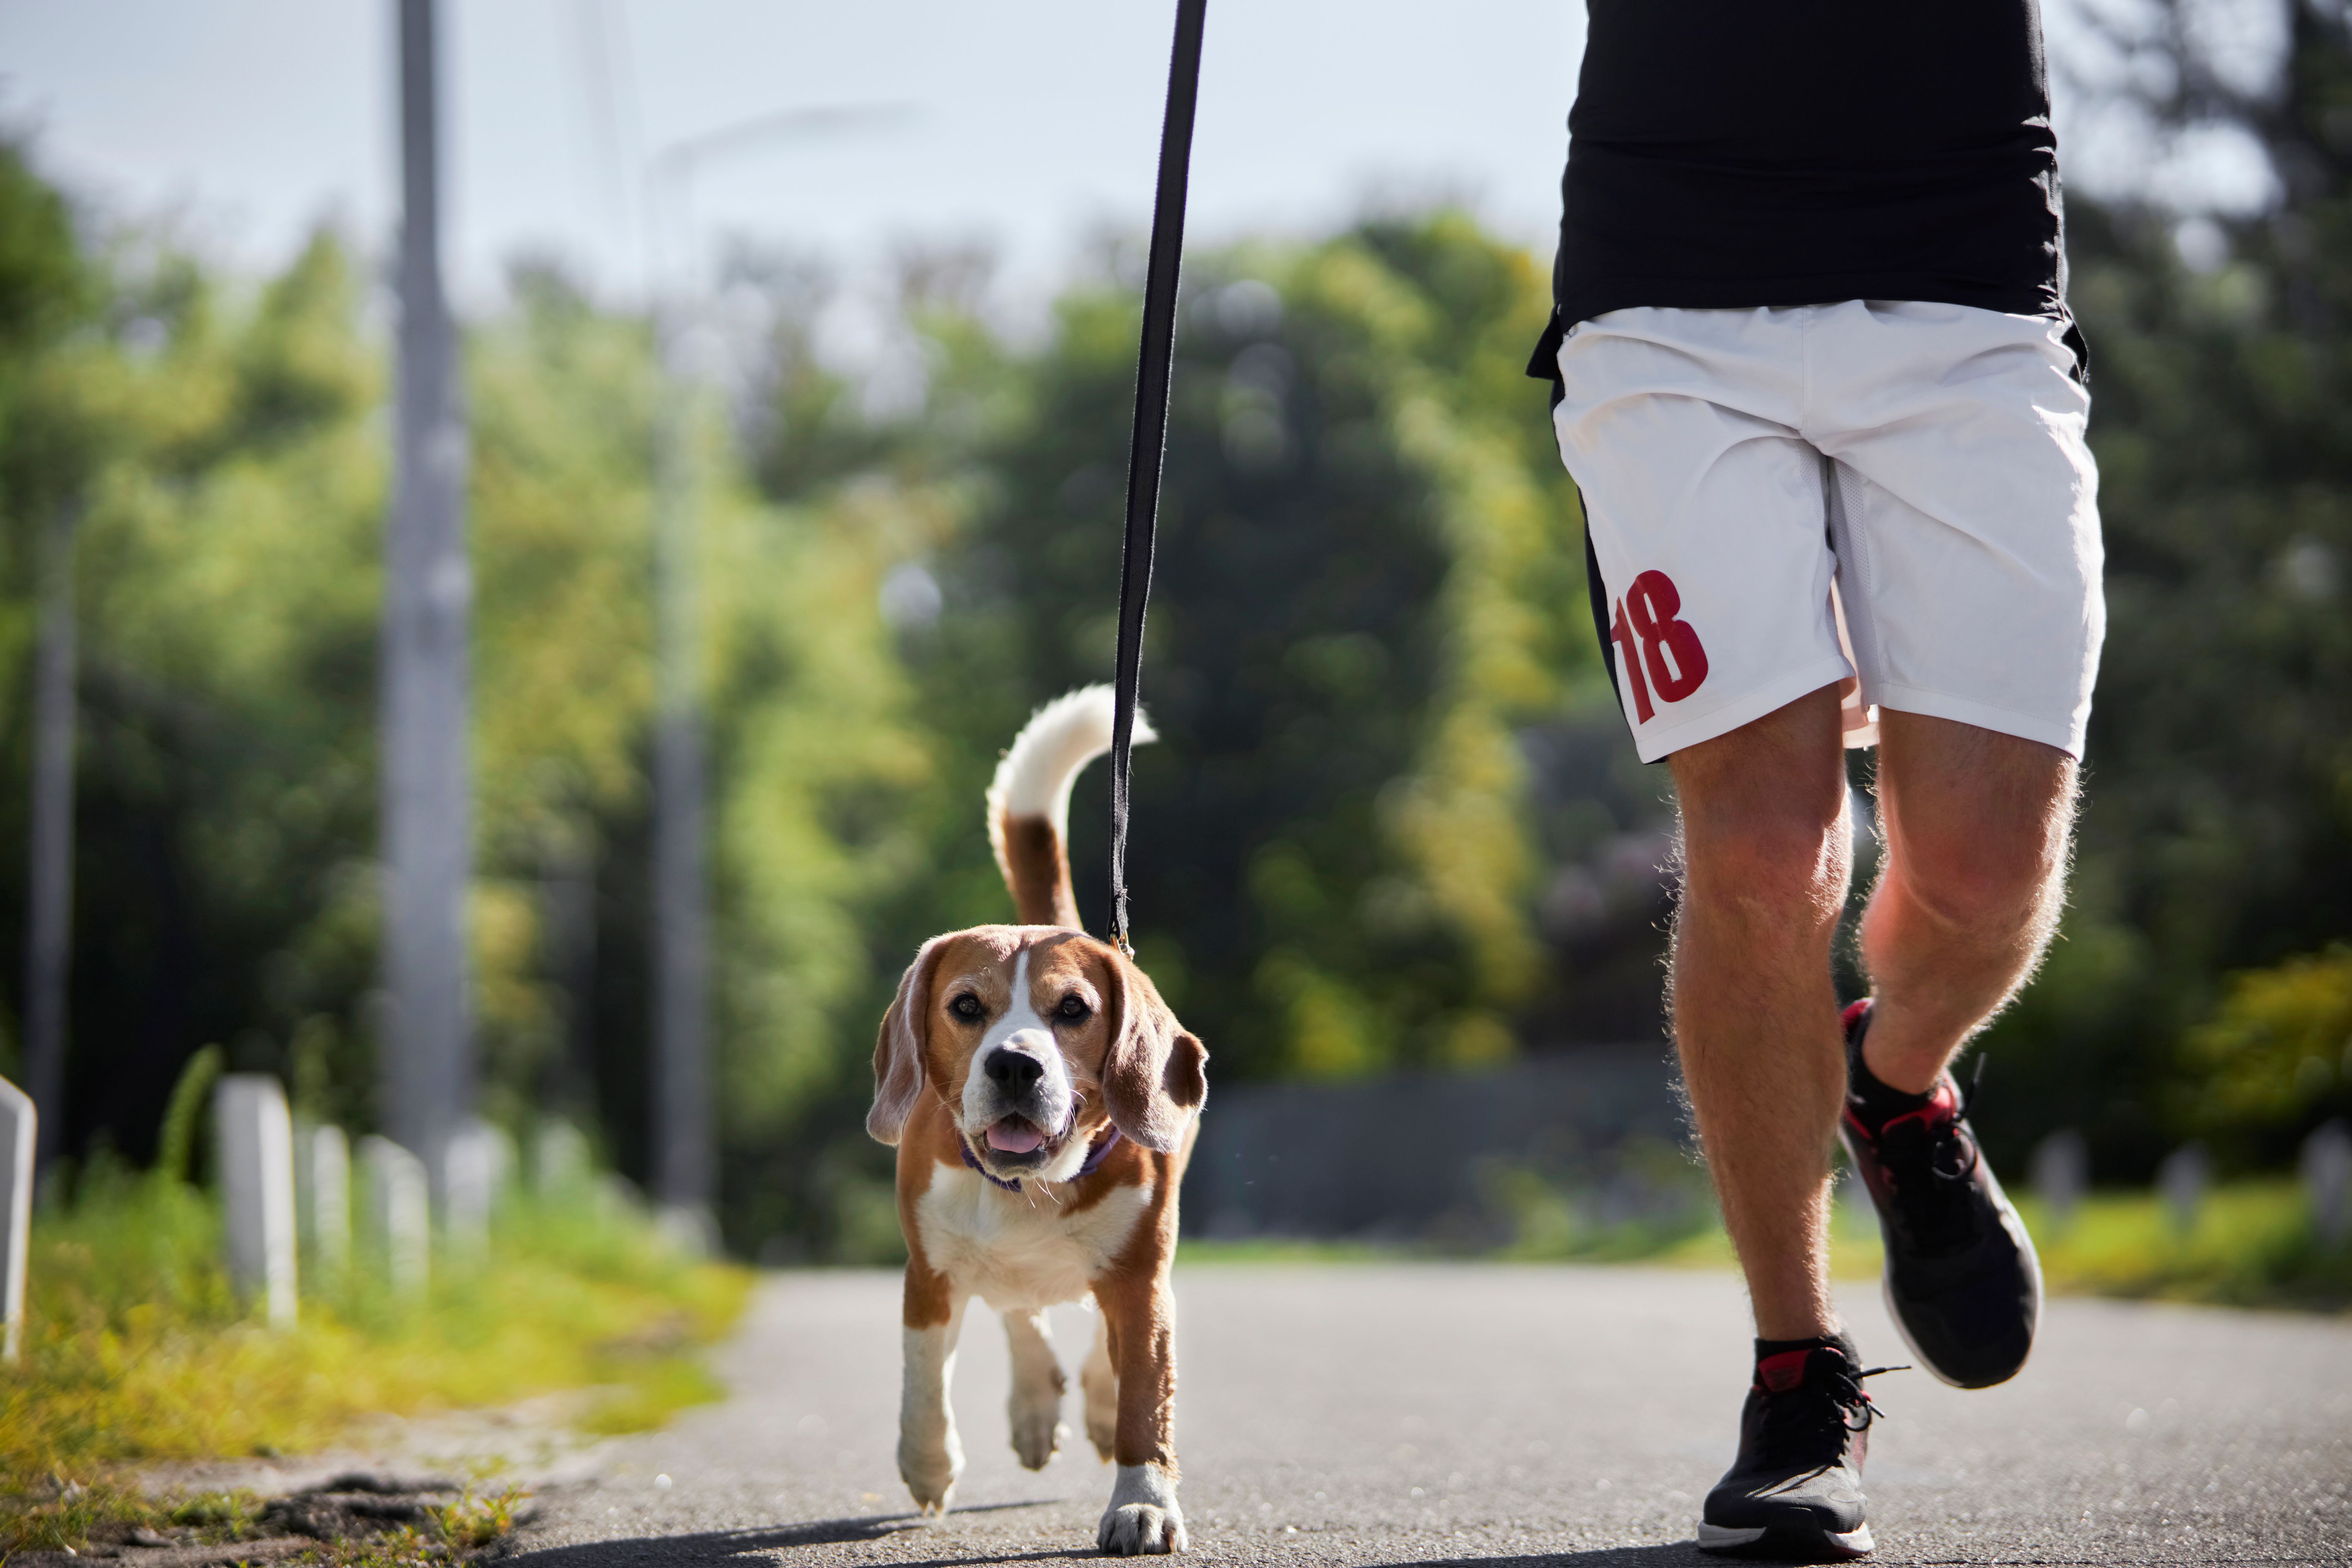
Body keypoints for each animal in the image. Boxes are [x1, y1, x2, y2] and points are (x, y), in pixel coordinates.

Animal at [875, 686, 1223, 1561]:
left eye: (1073, 1010)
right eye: (967, 1007)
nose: (1014, 1066)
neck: (1030, 1188)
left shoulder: (1141, 1279)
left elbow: (1144, 1401)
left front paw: (1143, 1506)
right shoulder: (928, 1272)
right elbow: (924, 1379)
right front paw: (928, 1464)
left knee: (1088, 1335)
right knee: (1016, 1305)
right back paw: (1033, 1402)